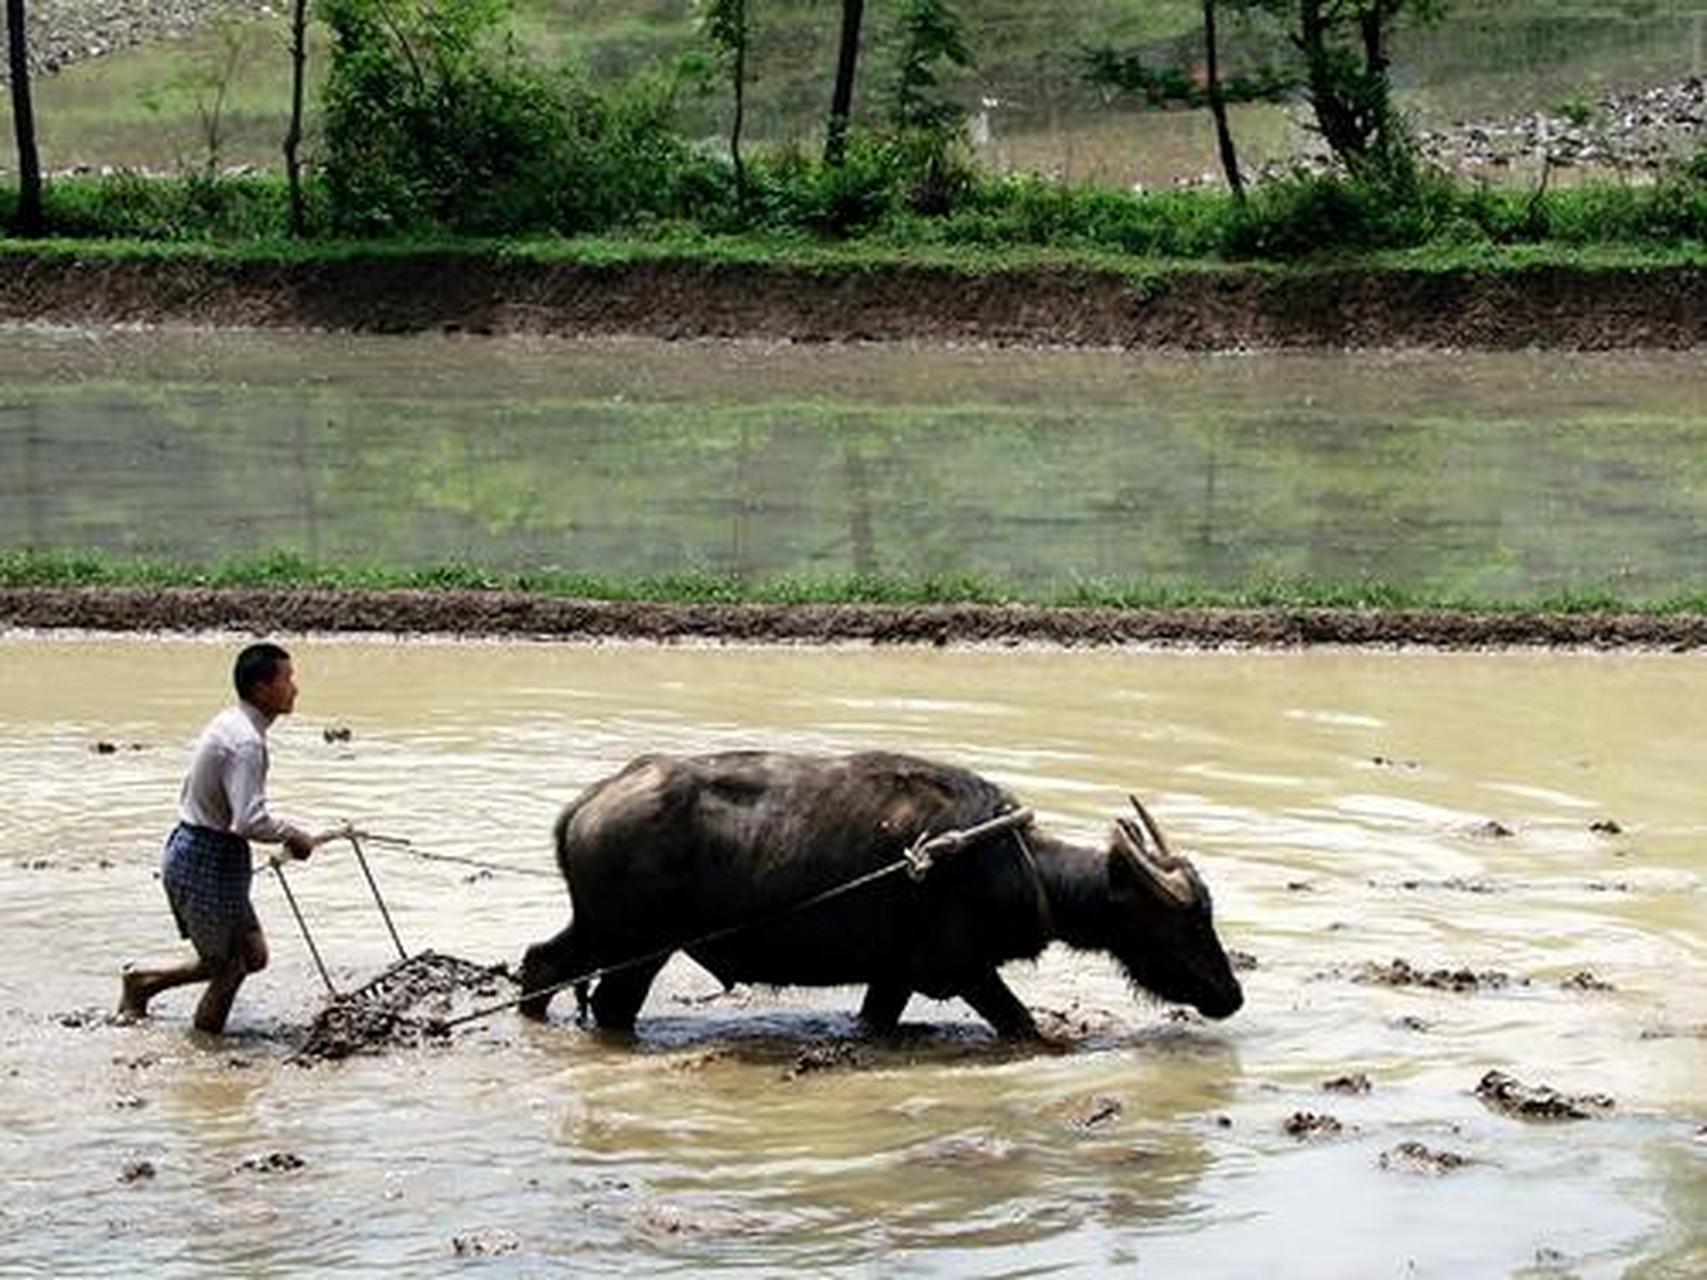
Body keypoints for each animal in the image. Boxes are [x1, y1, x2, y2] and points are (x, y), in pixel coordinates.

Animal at [515, 750, 1242, 1044]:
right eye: (1184, 922)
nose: (1229, 994)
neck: (1010, 862)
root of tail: (590, 802)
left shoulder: (892, 980)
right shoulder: (964, 972)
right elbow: (1022, 1025)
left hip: (599, 931)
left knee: (542, 962)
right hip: (636, 948)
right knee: (608, 1004)